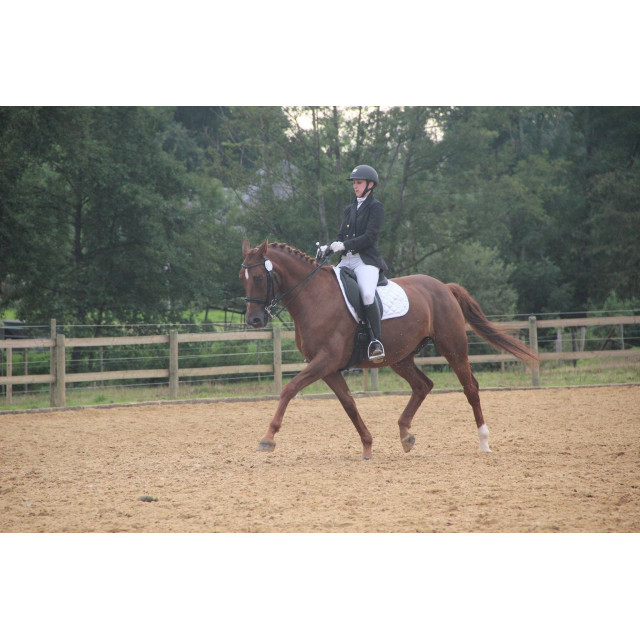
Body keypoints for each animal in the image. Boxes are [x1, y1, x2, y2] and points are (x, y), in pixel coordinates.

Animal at [240, 238, 538, 459]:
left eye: (258, 277)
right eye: (243, 277)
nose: (254, 320)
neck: (315, 297)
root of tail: (443, 287)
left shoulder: (324, 361)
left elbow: (289, 389)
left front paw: (267, 438)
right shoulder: (328, 368)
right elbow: (348, 403)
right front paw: (368, 444)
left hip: (452, 347)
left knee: (470, 388)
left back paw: (484, 442)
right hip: (400, 357)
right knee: (423, 385)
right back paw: (405, 435)